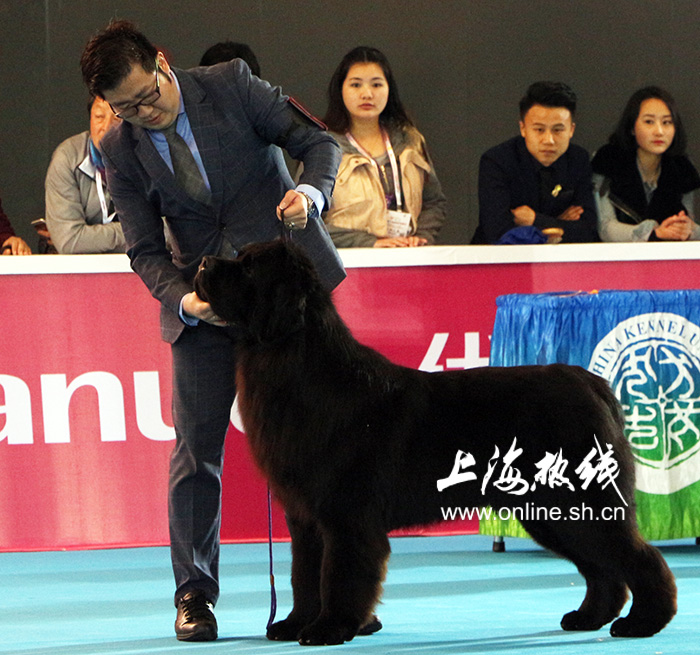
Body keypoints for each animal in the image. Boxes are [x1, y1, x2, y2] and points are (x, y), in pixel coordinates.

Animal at [194, 240, 676, 644]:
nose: (201, 263)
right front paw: (295, 624)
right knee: (603, 569)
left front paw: (330, 628)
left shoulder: (346, 516)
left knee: (638, 557)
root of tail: (591, 382)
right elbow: (304, 575)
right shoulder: (305, 517)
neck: (299, 365)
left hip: (579, 504)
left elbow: (340, 575)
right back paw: (589, 617)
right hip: (550, 514)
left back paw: (643, 622)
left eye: (248, 266)